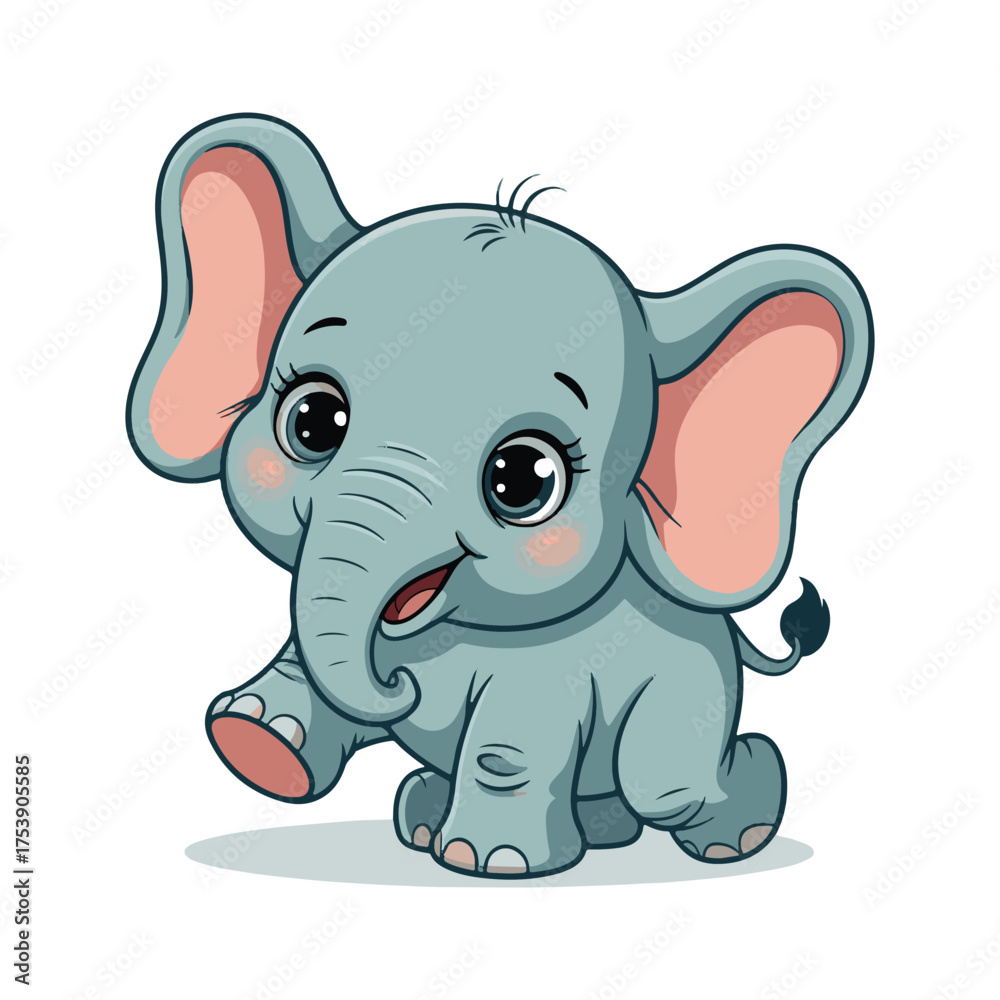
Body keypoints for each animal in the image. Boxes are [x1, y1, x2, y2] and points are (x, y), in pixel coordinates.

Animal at [127, 114, 872, 878]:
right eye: (311, 421)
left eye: (523, 478)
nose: (396, 687)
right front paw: (256, 740)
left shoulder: (547, 674)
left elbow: (508, 745)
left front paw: (491, 864)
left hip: (686, 696)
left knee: (666, 784)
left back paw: (737, 831)